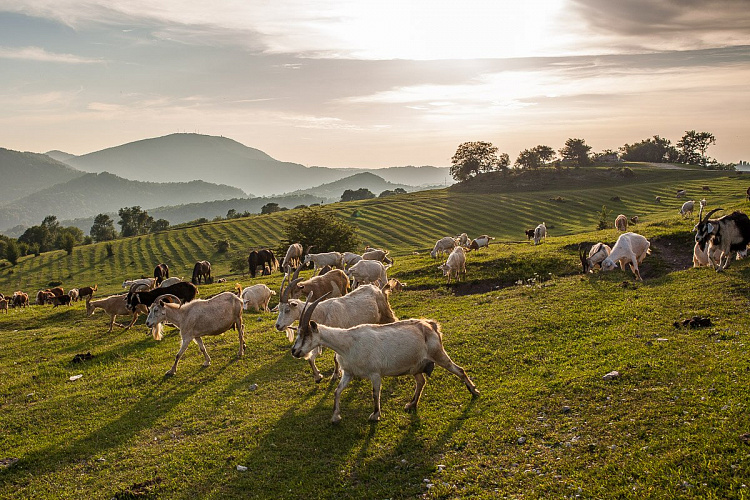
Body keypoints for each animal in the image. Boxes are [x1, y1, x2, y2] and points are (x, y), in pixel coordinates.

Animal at [290, 294, 478, 424]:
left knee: (459, 370)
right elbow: (337, 391)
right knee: (421, 381)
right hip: (415, 366)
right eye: (298, 333)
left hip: (438, 354)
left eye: (306, 334)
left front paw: (375, 415)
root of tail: (430, 325)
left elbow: (375, 393)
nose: (294, 351)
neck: (348, 343)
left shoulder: (375, 374)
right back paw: (411, 404)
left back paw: (474, 392)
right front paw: (336, 417)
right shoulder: (349, 373)